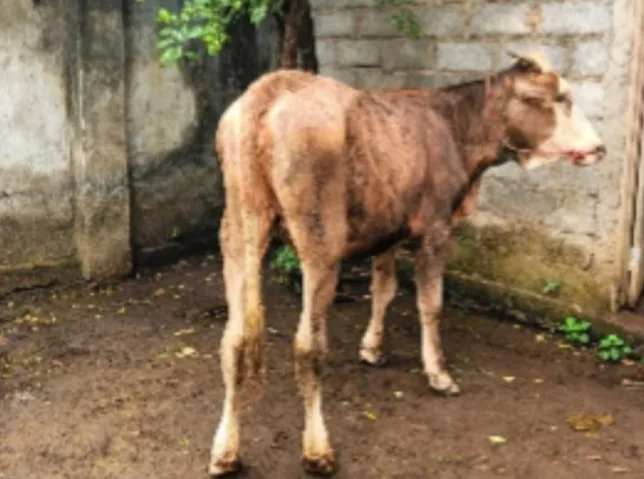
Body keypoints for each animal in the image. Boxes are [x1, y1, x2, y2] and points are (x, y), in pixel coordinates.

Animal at [208, 52, 606, 477]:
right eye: (561, 98)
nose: (600, 147)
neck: (458, 130)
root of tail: (271, 89)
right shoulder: (436, 227)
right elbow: (430, 304)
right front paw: (438, 374)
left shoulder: (388, 229)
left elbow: (384, 289)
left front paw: (372, 348)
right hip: (320, 241)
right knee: (307, 346)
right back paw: (318, 451)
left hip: (237, 231)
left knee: (234, 339)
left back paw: (225, 451)